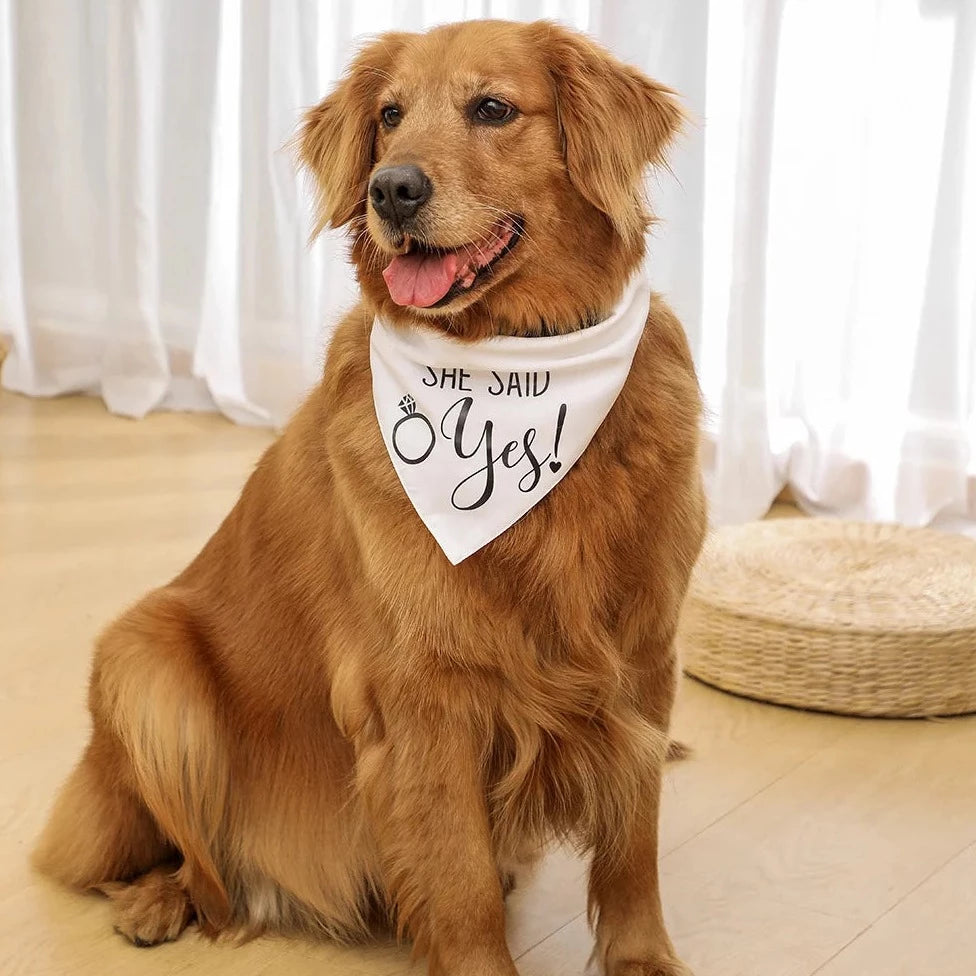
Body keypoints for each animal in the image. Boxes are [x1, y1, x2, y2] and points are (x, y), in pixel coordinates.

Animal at [34, 17, 704, 976]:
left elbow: (632, 843)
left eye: (492, 108)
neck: (517, 370)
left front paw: (643, 958)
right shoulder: (424, 694)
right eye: (390, 116)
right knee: (176, 858)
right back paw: (161, 900)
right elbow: (460, 882)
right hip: (145, 658)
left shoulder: (644, 656)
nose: (392, 189)